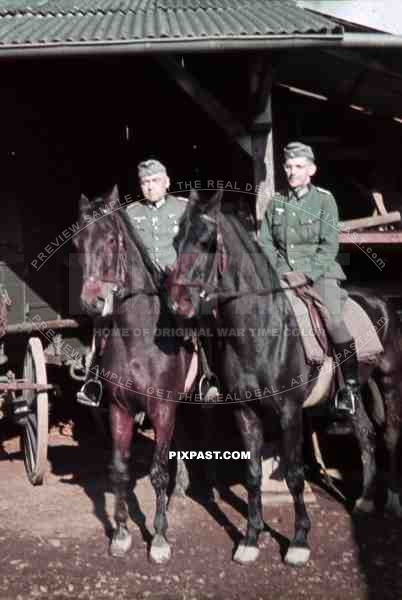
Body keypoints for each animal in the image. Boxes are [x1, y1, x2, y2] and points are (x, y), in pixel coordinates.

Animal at [74, 186, 193, 564]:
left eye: (112, 239)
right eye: (78, 243)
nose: (93, 302)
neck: (137, 337)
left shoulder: (162, 408)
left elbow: (157, 472)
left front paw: (159, 538)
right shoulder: (119, 409)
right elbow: (120, 470)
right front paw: (122, 534)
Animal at [166, 191, 402, 568]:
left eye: (206, 243)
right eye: (177, 242)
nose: (177, 303)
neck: (261, 329)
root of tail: (380, 301)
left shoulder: (290, 412)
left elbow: (293, 474)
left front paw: (299, 542)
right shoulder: (245, 411)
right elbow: (252, 474)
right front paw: (250, 539)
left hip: (389, 379)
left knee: (390, 434)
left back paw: (392, 500)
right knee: (365, 434)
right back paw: (365, 500)